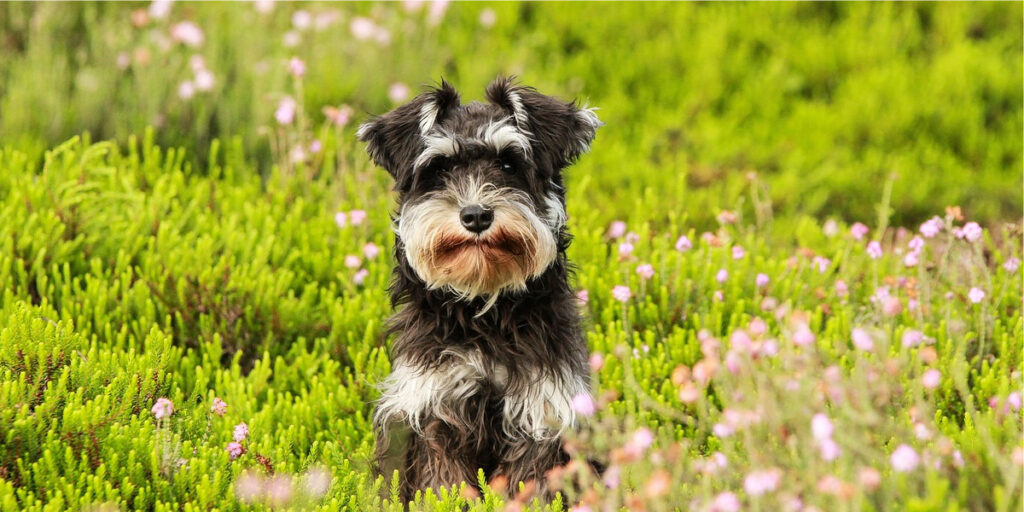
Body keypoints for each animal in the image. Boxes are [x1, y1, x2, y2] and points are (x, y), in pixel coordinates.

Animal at [358, 77, 598, 501]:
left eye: (509, 163)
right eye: (438, 168)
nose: (475, 215)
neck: (484, 308)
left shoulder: (541, 413)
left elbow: (527, 484)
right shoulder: (434, 410)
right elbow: (443, 485)